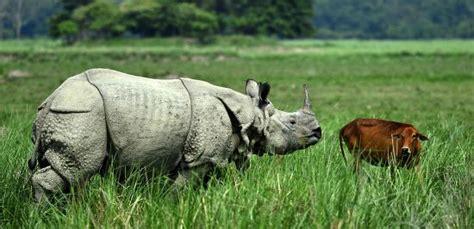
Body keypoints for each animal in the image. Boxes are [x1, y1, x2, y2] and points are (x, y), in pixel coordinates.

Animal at [27, 69, 320, 201]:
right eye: (292, 122)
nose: (318, 131)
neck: (251, 113)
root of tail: (52, 98)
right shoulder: (200, 158)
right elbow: (183, 188)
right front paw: (174, 204)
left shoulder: (213, 156)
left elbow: (210, 185)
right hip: (81, 114)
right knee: (76, 170)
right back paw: (44, 214)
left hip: (70, 114)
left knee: (65, 170)